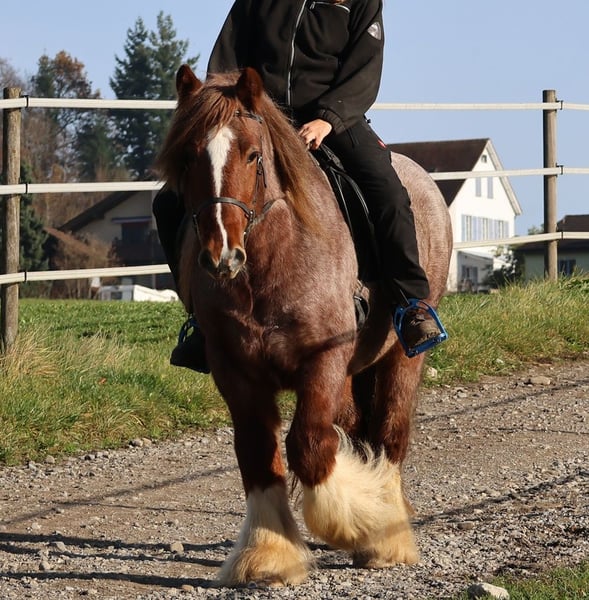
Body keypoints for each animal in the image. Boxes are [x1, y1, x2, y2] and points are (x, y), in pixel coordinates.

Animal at [155, 64, 452, 587]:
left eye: (253, 154)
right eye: (188, 157)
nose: (221, 254)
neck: (269, 265)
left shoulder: (324, 359)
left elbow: (310, 446)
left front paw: (367, 527)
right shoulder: (236, 371)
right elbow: (258, 453)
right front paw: (268, 554)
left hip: (401, 357)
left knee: (390, 434)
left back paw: (389, 534)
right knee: (357, 430)